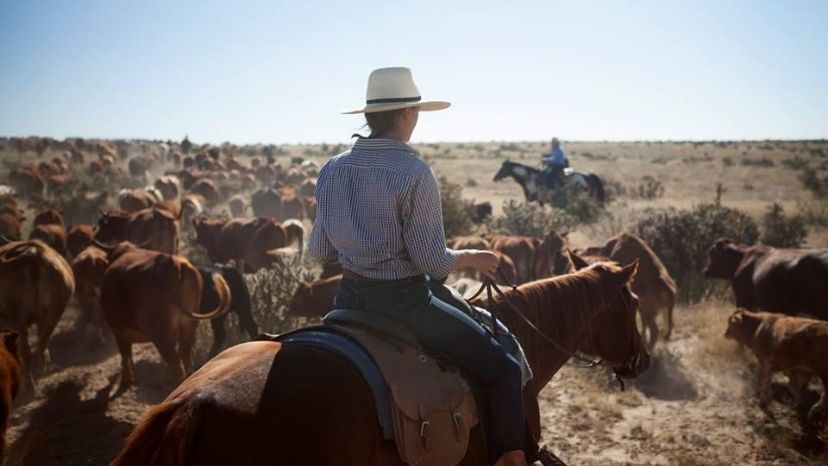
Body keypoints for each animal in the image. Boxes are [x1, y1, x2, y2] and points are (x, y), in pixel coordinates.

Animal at [0, 240, 74, 386]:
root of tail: (33, 254)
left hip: (18, 319)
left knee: (25, 350)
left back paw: (28, 383)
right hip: (54, 313)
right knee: (42, 342)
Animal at [103, 244, 234, 386]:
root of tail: (172, 264)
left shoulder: (117, 331)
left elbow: (125, 356)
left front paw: (126, 380)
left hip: (161, 337)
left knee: (177, 367)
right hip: (187, 327)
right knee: (186, 359)